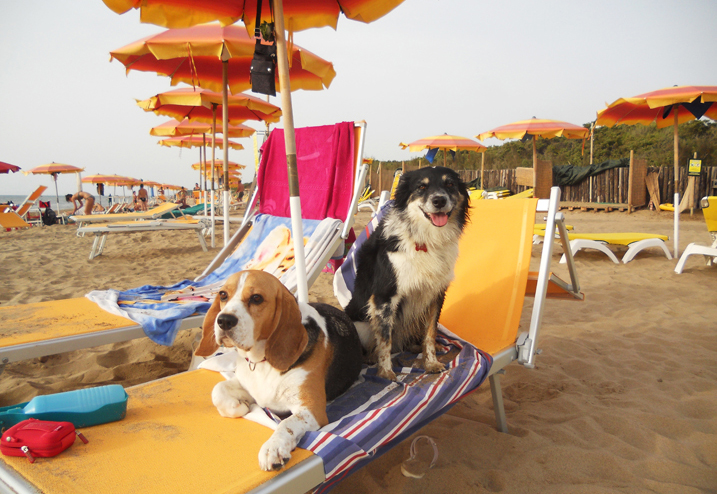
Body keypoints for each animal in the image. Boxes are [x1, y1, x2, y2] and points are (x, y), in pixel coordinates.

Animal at [346, 168, 470, 380]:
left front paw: (431, 362)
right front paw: (386, 373)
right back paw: (371, 357)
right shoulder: (385, 297)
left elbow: (430, 333)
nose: (439, 200)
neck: (426, 241)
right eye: (421, 187)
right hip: (360, 324)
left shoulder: (435, 294)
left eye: (450, 184)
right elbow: (385, 340)